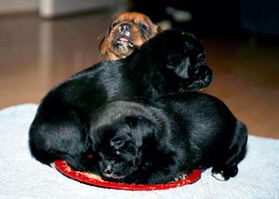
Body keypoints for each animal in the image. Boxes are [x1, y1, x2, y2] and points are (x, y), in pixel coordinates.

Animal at [28, 29, 213, 173]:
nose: (211, 73)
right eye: (200, 59)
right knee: (77, 157)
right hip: (73, 122)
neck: (150, 71)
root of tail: (35, 142)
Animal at [91, 94, 248, 184]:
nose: (106, 170)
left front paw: (133, 178)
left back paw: (222, 171)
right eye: (96, 152)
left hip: (240, 134)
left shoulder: (176, 158)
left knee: (232, 162)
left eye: (119, 143)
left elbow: (155, 172)